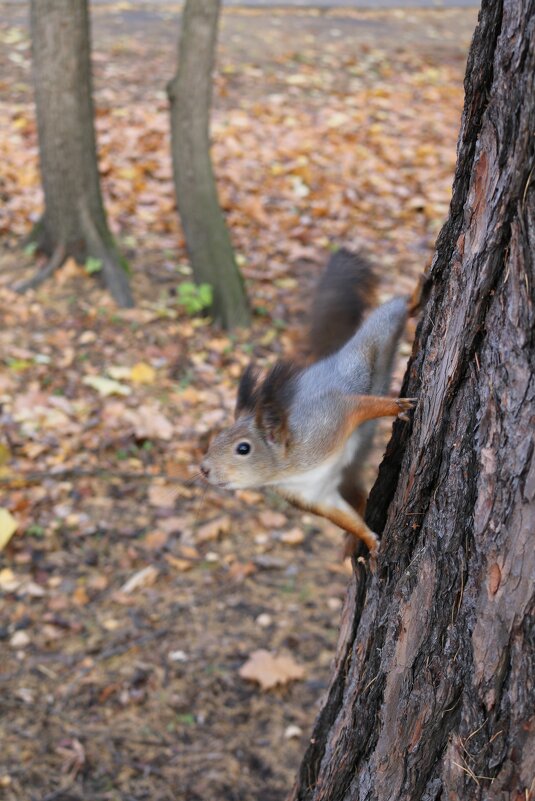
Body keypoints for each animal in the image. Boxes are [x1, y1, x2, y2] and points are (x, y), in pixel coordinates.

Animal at [201, 248, 414, 556]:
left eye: (243, 449)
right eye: (215, 439)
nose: (203, 469)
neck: (293, 471)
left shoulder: (326, 423)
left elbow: (357, 406)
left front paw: (396, 407)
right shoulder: (314, 494)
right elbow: (344, 517)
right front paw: (368, 540)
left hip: (367, 345)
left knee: (394, 309)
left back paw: (419, 293)